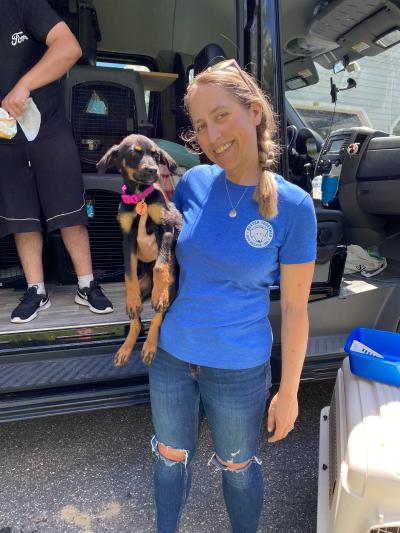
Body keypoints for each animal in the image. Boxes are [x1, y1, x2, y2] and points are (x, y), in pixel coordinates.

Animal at [97, 134, 182, 366]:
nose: (153, 170)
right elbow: (129, 274)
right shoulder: (127, 239)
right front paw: (133, 298)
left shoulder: (167, 229)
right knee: (136, 322)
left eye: (156, 155)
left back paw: (150, 346)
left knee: (157, 319)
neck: (140, 197)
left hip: (172, 291)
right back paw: (126, 347)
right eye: (133, 153)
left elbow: (160, 266)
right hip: (141, 290)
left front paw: (159, 294)